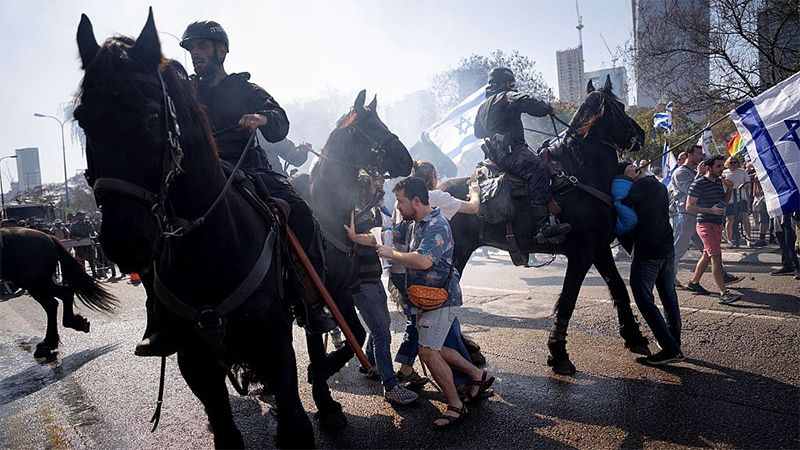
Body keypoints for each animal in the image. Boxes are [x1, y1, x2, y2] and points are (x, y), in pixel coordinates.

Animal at [0, 229, 116, 358]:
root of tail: (49, 237)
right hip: (37, 283)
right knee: (59, 298)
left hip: (34, 282)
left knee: (54, 302)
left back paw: (50, 341)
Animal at [440, 78, 652, 376]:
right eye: (620, 106)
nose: (641, 134)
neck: (581, 173)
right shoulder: (581, 253)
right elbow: (568, 299)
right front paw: (558, 352)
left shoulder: (599, 249)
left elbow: (618, 287)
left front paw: (633, 336)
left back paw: (467, 348)